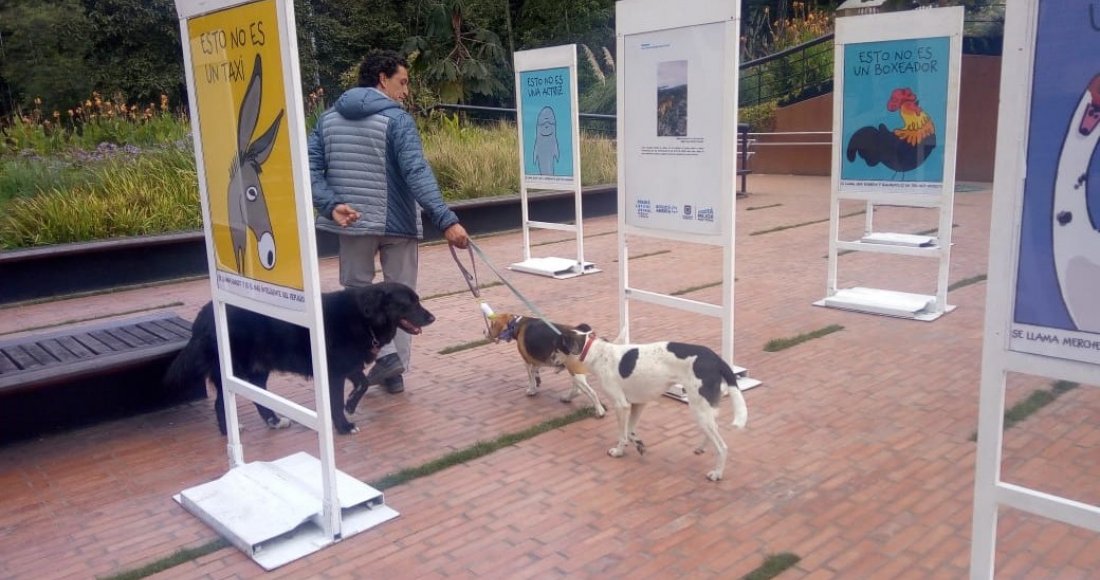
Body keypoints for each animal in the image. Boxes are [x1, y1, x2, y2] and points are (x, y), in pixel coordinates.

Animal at [167, 281, 433, 435]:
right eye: (409, 303)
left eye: (418, 300)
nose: (432, 318)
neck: (363, 317)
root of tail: (204, 314)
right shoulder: (334, 372)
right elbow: (336, 401)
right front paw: (343, 426)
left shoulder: (348, 365)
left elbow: (364, 383)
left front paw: (351, 404)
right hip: (233, 369)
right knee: (220, 402)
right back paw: (229, 431)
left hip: (258, 369)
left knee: (258, 398)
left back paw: (274, 422)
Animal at [576, 332, 748, 482]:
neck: (600, 353)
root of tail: (717, 359)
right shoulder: (639, 403)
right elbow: (630, 431)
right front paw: (639, 445)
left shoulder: (621, 405)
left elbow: (623, 435)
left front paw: (619, 451)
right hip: (704, 410)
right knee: (715, 429)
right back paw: (701, 448)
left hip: (699, 409)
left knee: (722, 446)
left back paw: (717, 474)